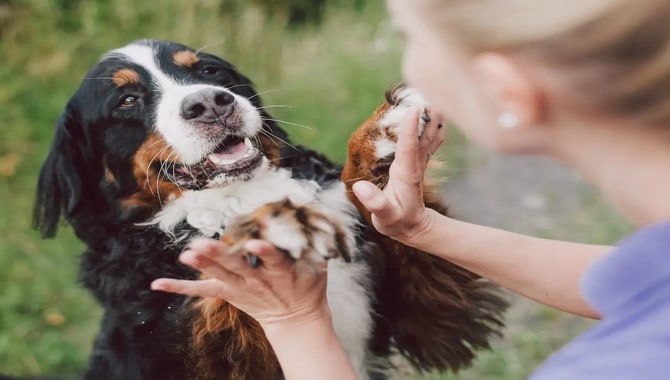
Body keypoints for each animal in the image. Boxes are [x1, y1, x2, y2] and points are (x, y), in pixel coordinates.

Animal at [30, 40, 504, 378]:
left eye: (207, 70)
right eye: (126, 100)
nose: (209, 103)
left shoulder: (419, 309)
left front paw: (381, 133)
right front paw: (272, 223)